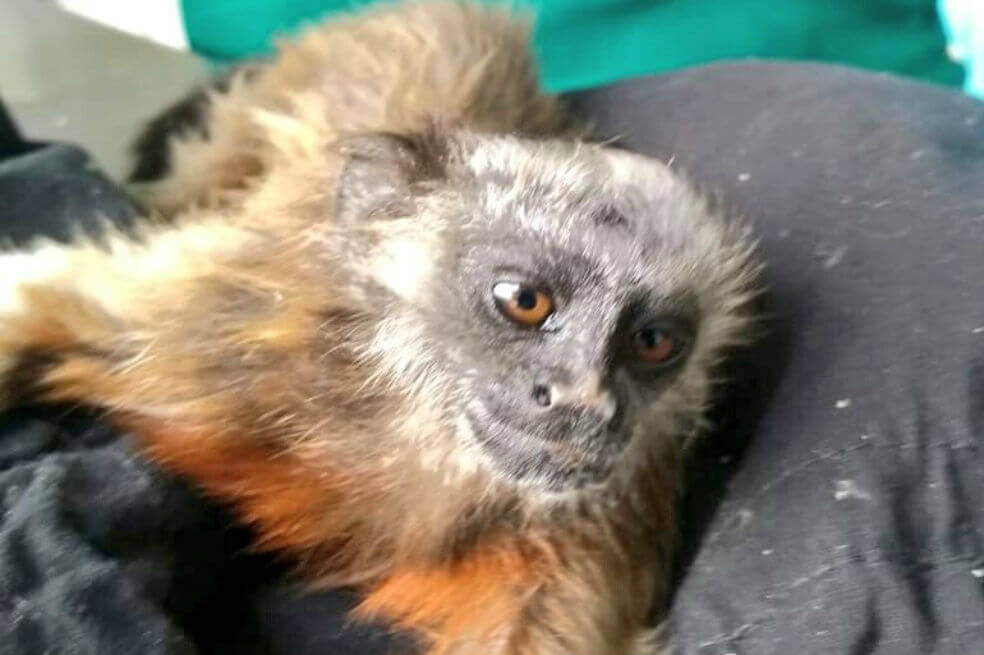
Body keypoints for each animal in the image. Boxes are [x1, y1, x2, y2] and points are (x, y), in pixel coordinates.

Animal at [0, 2, 760, 654]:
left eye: (652, 342)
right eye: (524, 301)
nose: (581, 401)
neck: (405, 426)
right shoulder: (220, 336)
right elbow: (54, 301)